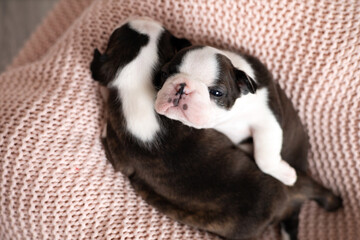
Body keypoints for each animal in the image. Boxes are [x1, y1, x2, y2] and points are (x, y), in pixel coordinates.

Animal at [155, 46, 306, 186]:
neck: (229, 117)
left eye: (217, 92)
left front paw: (286, 174)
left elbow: (264, 158)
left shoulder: (268, 122)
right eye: (164, 73)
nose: (182, 88)